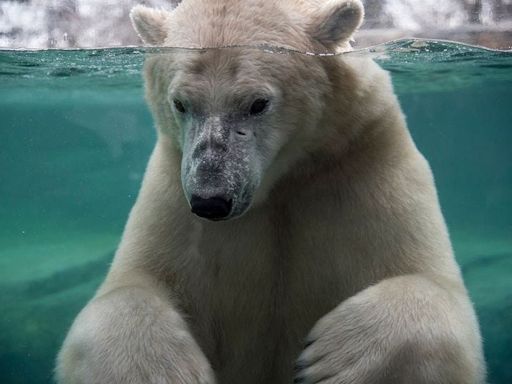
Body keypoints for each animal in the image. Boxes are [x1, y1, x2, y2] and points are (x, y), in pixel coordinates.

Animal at [56, 0, 484, 384]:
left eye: (257, 103)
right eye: (181, 103)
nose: (211, 200)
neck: (279, 183)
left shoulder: (365, 163)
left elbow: (435, 292)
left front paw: (330, 358)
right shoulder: (173, 194)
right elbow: (129, 288)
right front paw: (164, 370)